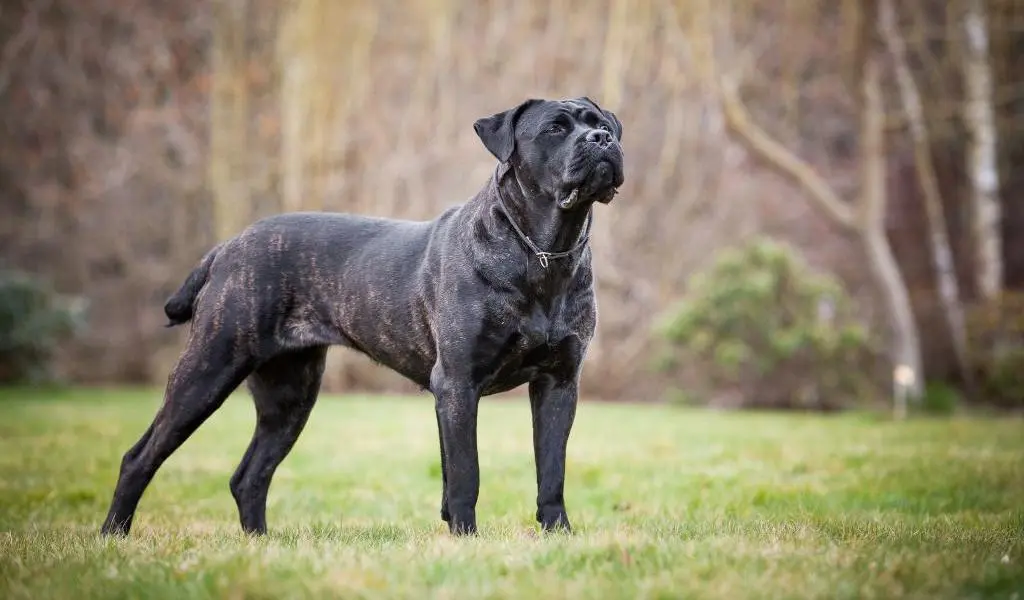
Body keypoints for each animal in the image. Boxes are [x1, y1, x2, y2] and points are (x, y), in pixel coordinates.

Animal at [99, 95, 622, 536]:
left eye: (599, 123)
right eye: (555, 128)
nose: (602, 140)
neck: (543, 250)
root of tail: (228, 247)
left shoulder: (558, 381)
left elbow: (551, 468)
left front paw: (558, 535)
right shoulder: (458, 383)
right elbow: (465, 473)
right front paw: (467, 538)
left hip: (290, 394)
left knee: (250, 475)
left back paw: (260, 544)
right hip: (209, 367)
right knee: (140, 457)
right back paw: (113, 536)